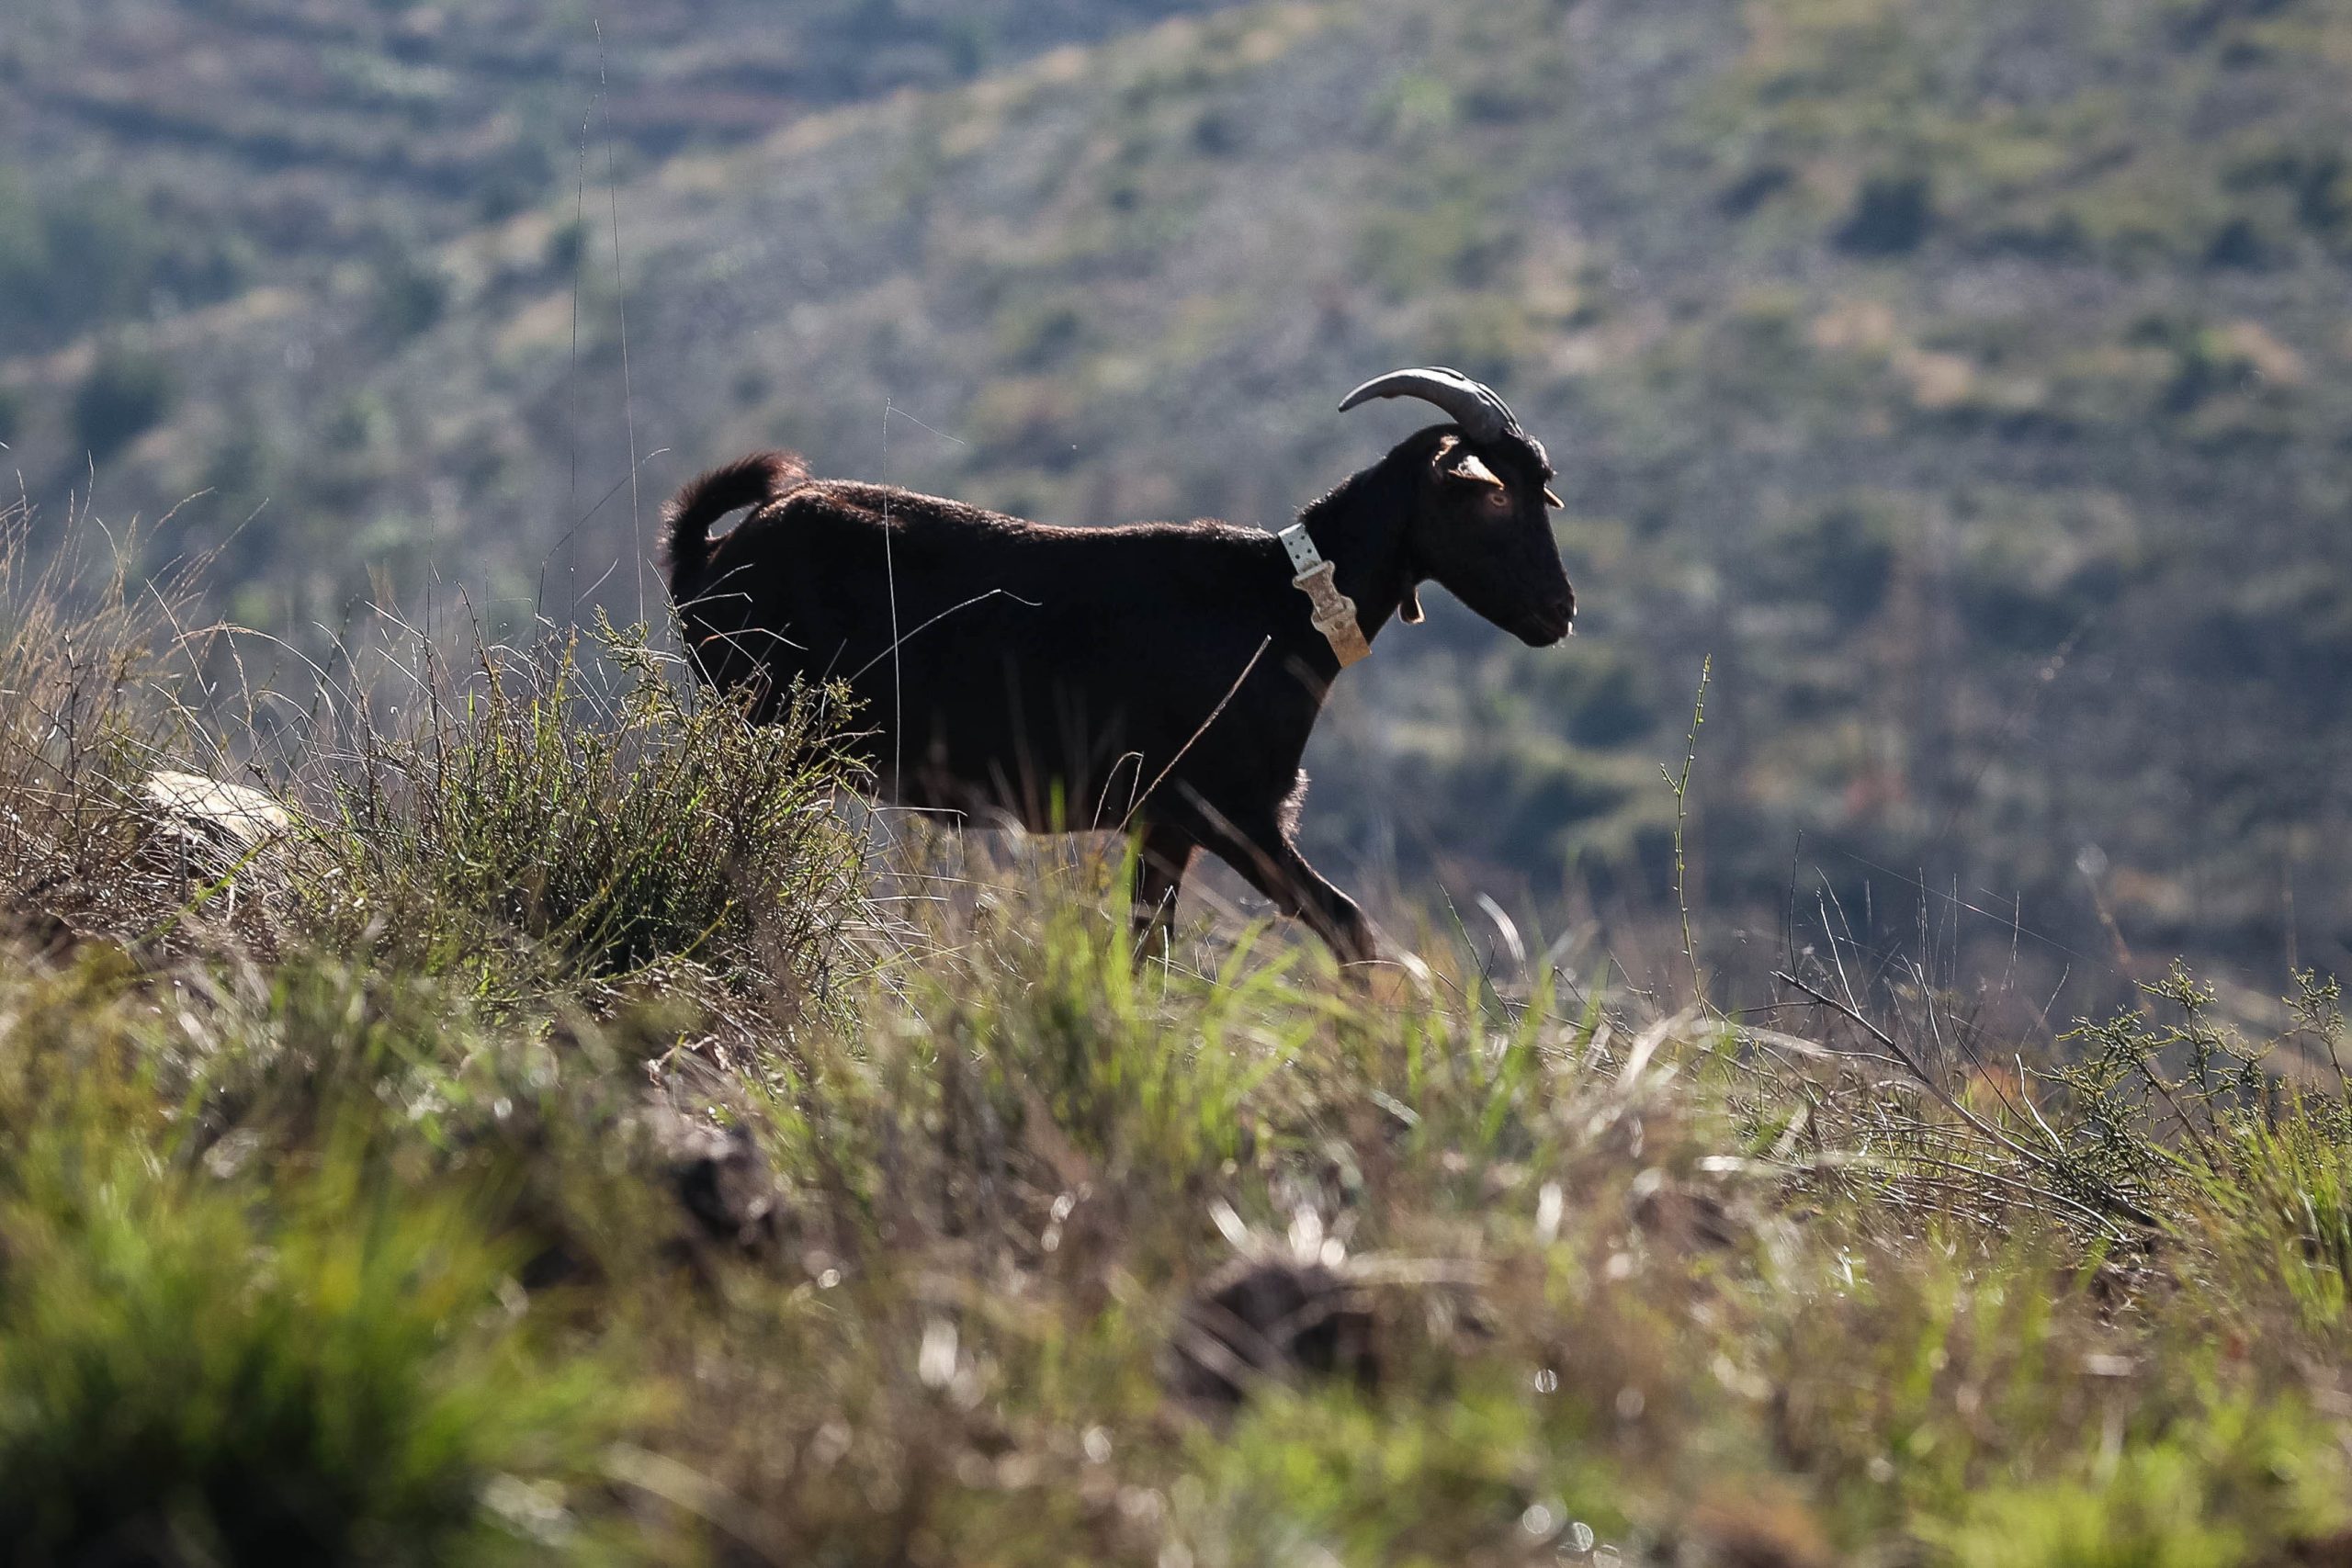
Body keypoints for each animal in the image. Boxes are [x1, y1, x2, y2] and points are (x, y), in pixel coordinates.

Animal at [662, 368, 1575, 965]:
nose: (1561, 611)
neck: (1281, 603)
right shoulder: (1228, 809)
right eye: (1496, 497)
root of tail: (706, 556)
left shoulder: (1166, 825)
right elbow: (1348, 926)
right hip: (769, 729)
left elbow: (1150, 951)